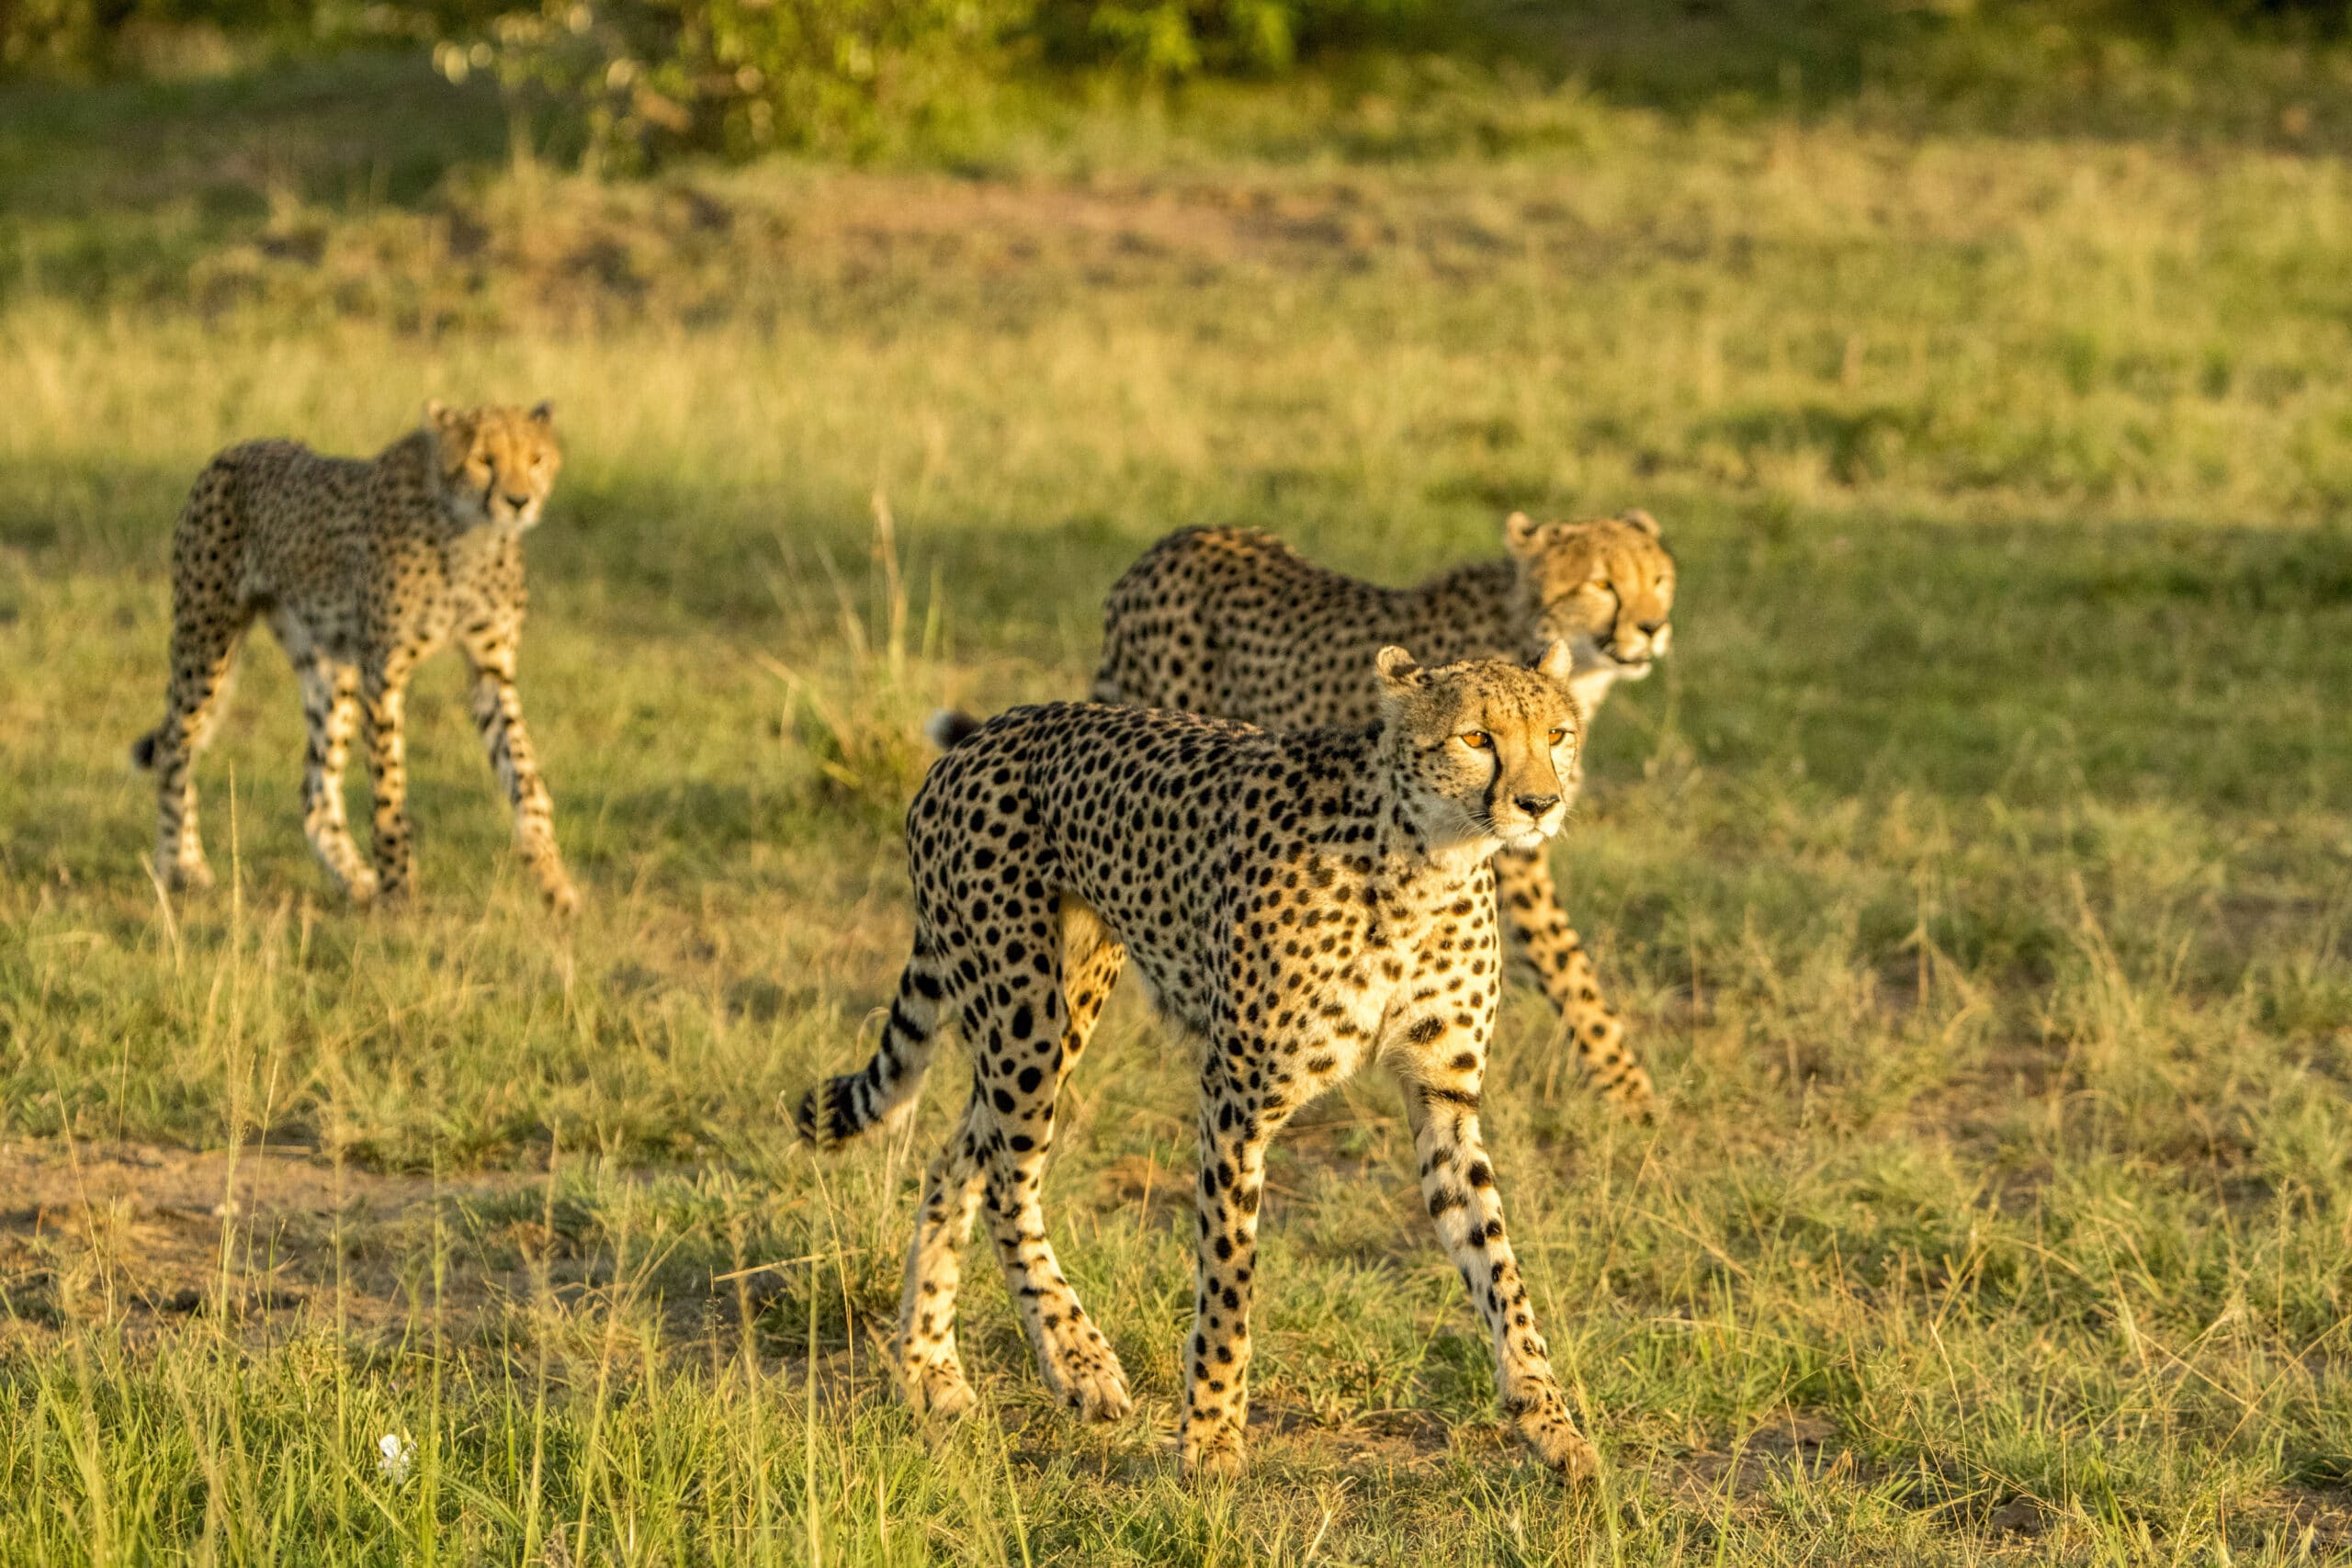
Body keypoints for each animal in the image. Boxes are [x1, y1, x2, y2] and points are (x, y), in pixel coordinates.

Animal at [135, 401, 581, 921]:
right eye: (483, 460)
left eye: (536, 459)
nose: (518, 501)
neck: (469, 531)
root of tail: (239, 447)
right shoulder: (383, 672)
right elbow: (389, 794)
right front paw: (399, 894)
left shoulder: (490, 669)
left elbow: (525, 778)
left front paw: (554, 881)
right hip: (207, 639)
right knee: (173, 745)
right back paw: (180, 865)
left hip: (329, 669)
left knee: (313, 791)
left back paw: (353, 878)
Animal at [799, 649, 1609, 1485]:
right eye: (1477, 736)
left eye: (1558, 733)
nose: (1540, 802)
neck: (1427, 860)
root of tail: (983, 734)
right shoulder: (1236, 1099)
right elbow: (1227, 1276)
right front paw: (1211, 1438)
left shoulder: (1443, 1095)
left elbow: (1499, 1266)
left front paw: (1551, 1422)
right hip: (1026, 1014)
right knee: (1005, 1181)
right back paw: (1078, 1359)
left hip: (1066, 999)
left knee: (958, 1156)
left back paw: (929, 1366)